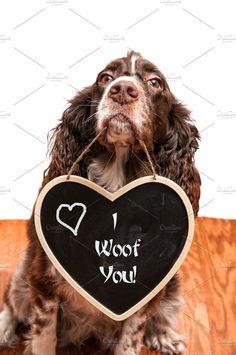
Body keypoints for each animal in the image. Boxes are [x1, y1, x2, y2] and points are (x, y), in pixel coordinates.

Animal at [0, 50, 201, 355]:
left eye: (155, 82)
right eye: (105, 77)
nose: (122, 90)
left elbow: (131, 338)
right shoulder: (44, 280)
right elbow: (43, 337)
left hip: (172, 283)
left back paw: (164, 334)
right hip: (25, 273)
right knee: (13, 301)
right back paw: (3, 328)